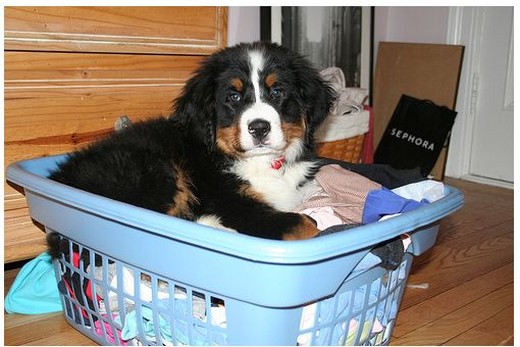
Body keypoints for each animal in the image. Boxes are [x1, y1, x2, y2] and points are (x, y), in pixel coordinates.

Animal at [47, 41, 334, 242]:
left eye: (277, 92)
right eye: (233, 97)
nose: (259, 128)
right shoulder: (233, 203)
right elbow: (304, 223)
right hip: (156, 172)